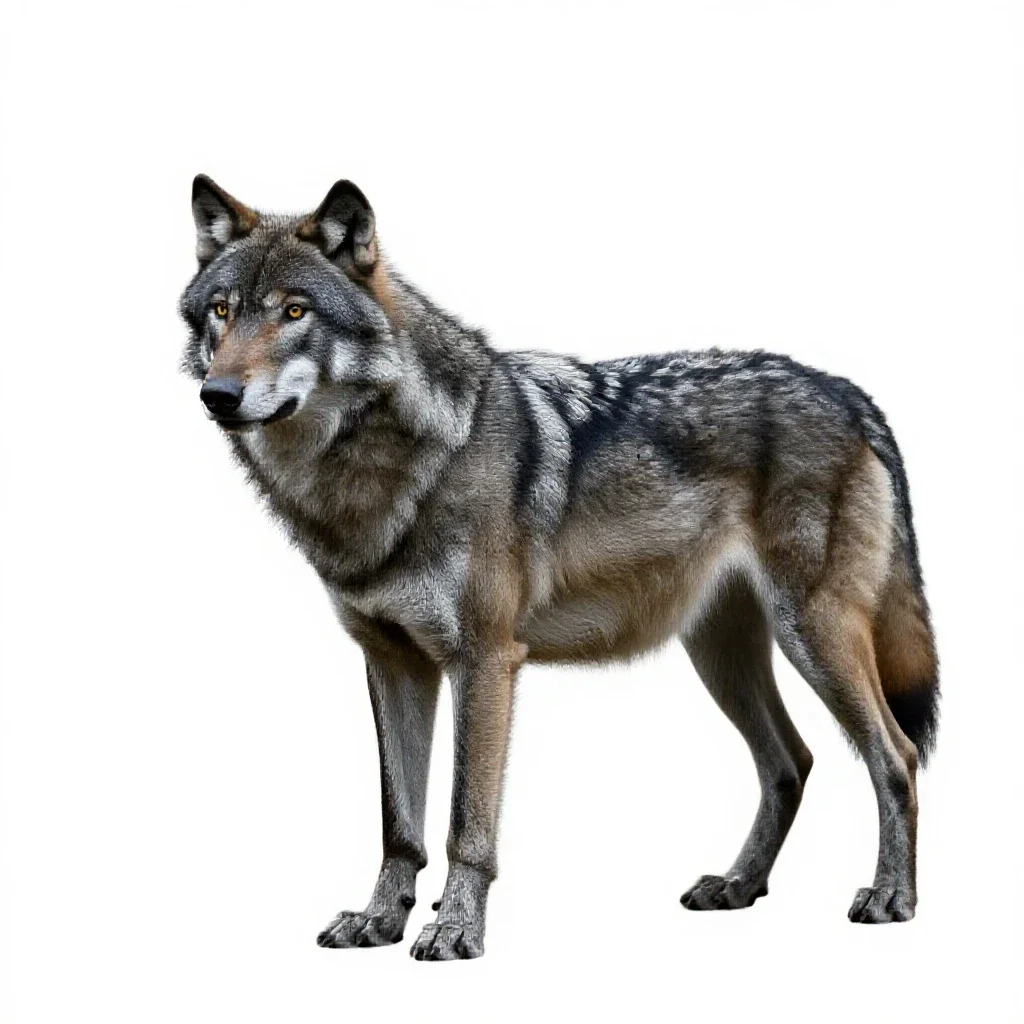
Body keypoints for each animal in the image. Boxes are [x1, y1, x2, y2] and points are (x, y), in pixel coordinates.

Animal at [179, 175, 939, 960]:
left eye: (294, 312)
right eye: (222, 311)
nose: (218, 395)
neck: (388, 468)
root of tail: (847, 391)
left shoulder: (485, 661)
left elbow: (464, 823)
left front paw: (455, 929)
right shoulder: (392, 664)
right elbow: (399, 824)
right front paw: (380, 920)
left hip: (810, 637)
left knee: (896, 755)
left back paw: (891, 897)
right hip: (721, 655)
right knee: (791, 762)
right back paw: (737, 885)